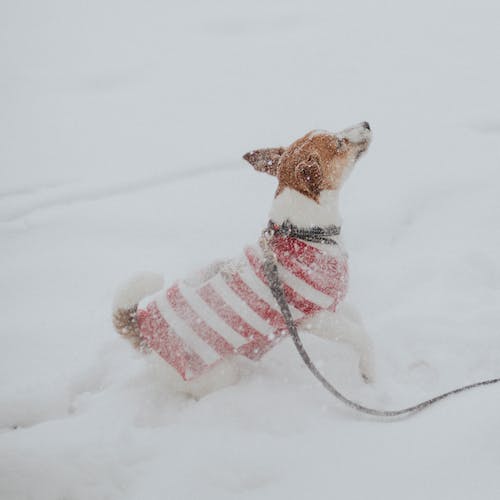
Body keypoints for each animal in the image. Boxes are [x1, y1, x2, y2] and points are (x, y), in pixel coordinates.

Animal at [111, 123, 374, 396]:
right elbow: (361, 337)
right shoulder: (316, 319)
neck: (304, 232)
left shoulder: (331, 305)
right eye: (339, 143)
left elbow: (356, 317)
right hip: (217, 374)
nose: (366, 123)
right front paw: (369, 372)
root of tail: (142, 331)